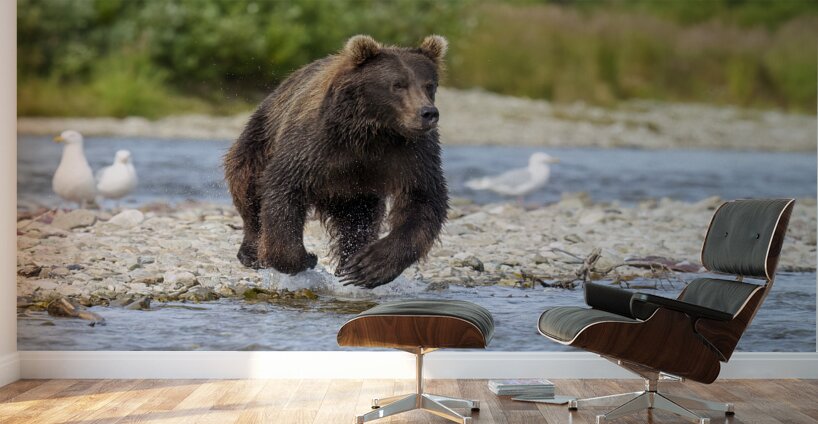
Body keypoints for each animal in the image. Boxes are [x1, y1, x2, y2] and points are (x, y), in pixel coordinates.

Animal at [223, 34, 449, 289]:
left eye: (429, 85)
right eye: (398, 84)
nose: (428, 113)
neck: (372, 132)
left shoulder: (412, 154)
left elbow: (423, 199)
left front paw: (368, 266)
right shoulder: (316, 143)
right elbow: (284, 186)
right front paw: (305, 258)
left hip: (353, 191)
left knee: (359, 219)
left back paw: (348, 262)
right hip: (261, 138)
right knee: (248, 188)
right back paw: (251, 252)